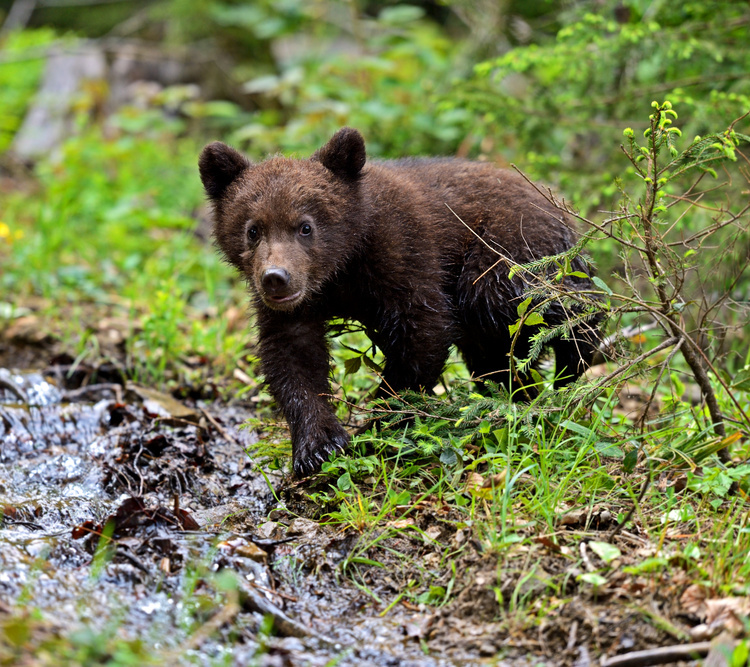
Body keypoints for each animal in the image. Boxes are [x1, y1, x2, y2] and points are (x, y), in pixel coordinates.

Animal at [198, 128, 600, 478]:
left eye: (305, 226)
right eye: (253, 229)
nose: (276, 277)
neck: (342, 270)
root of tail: (558, 204)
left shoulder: (403, 253)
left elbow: (421, 333)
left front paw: (381, 421)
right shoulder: (297, 308)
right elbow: (292, 358)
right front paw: (318, 445)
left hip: (504, 253)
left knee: (525, 304)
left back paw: (575, 354)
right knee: (492, 348)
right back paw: (515, 391)